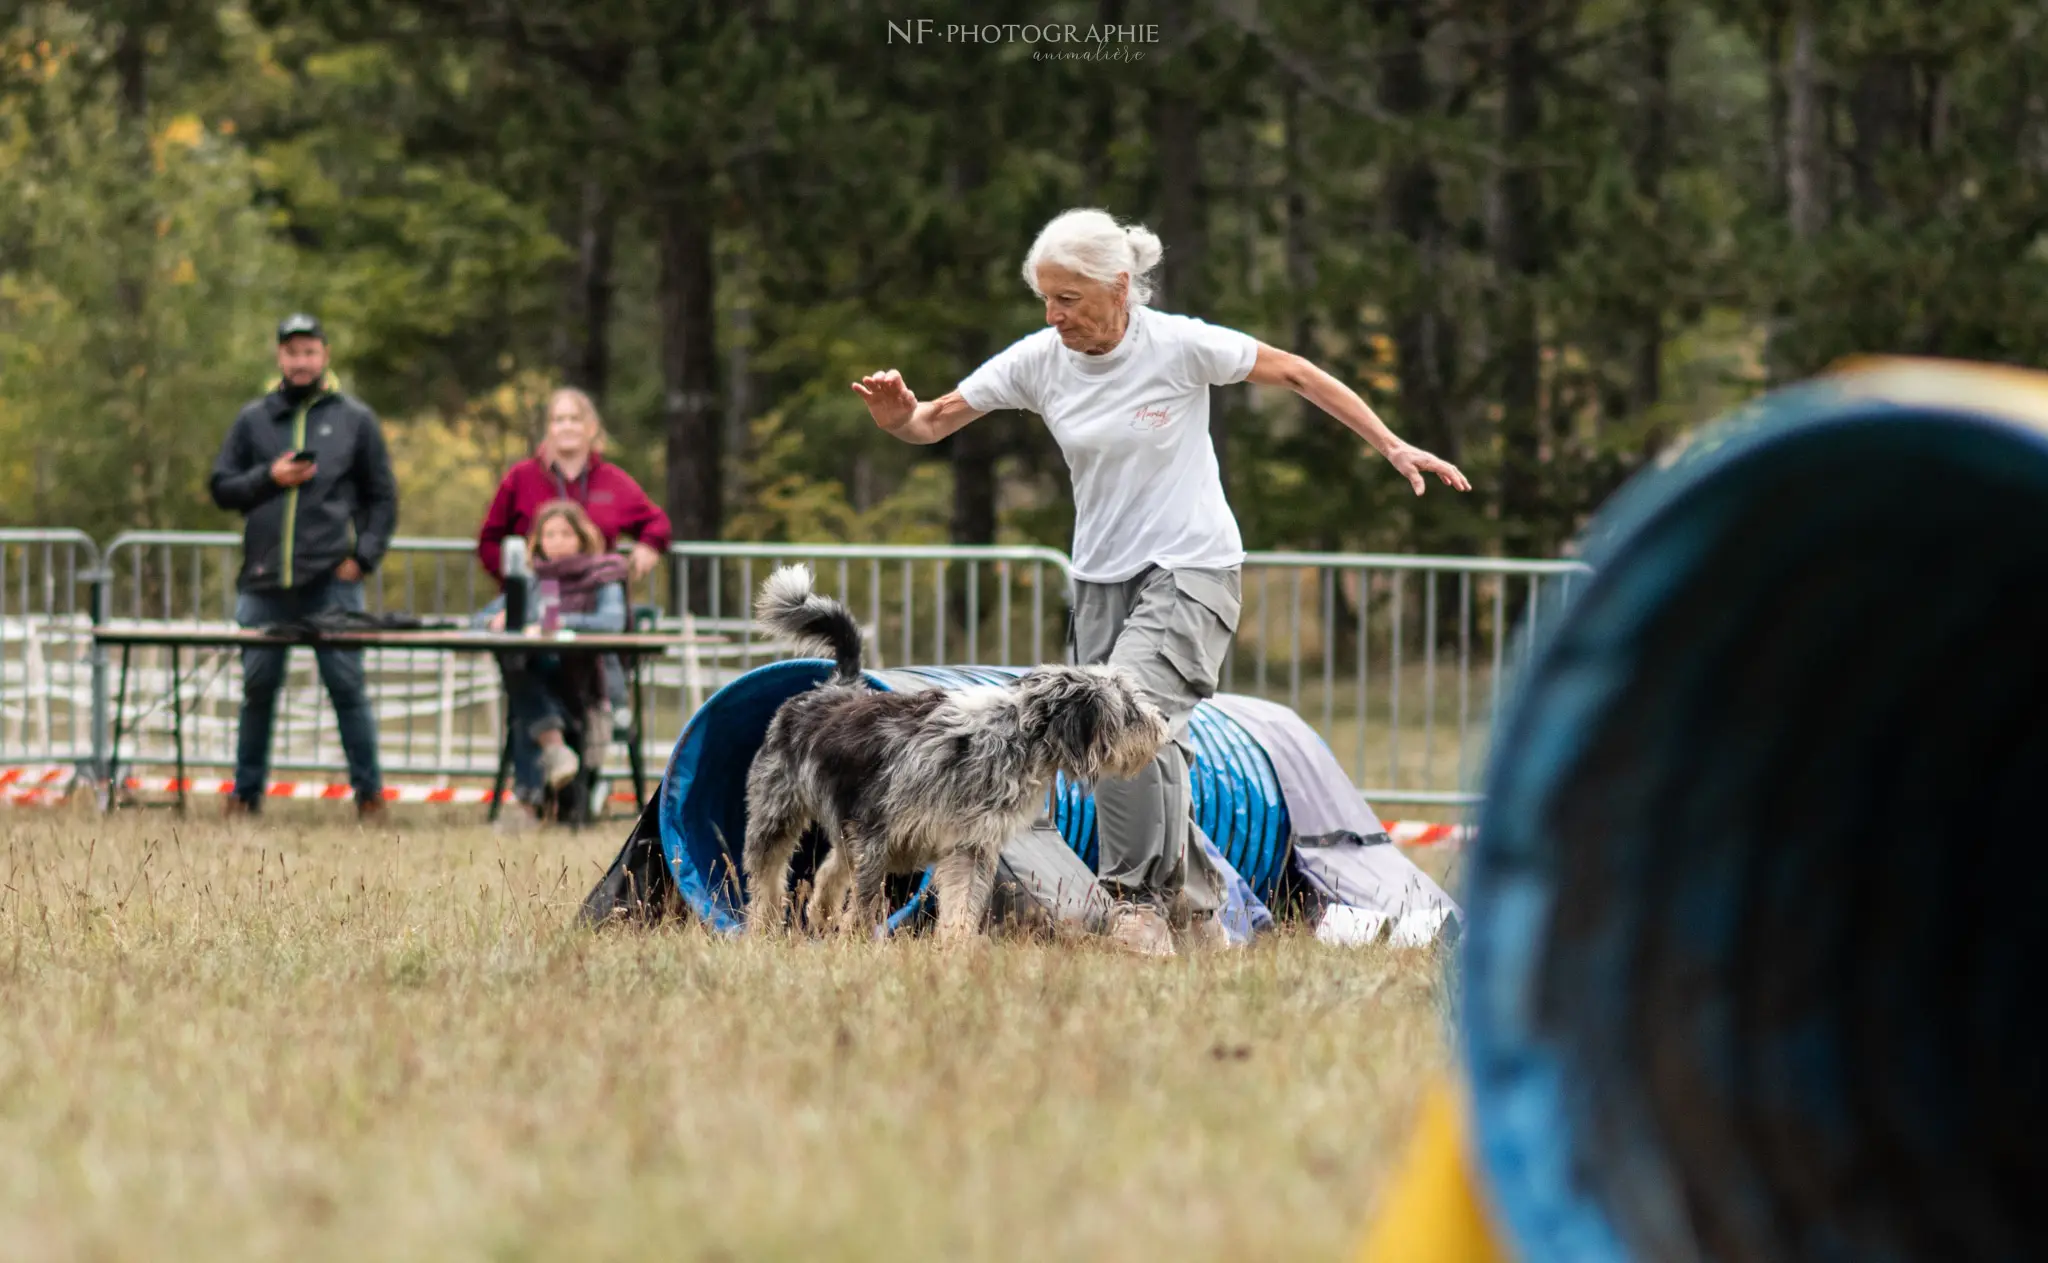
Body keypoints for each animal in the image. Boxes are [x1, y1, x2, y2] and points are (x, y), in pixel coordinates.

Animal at [749, 564, 1171, 941]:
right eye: (1129, 709)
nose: (1165, 721)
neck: (1010, 742)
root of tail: (839, 684)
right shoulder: (874, 834)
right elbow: (867, 903)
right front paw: (857, 943)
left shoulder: (969, 847)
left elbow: (963, 906)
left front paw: (955, 951)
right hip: (776, 814)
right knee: (768, 879)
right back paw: (762, 928)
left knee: (830, 868)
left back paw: (820, 915)